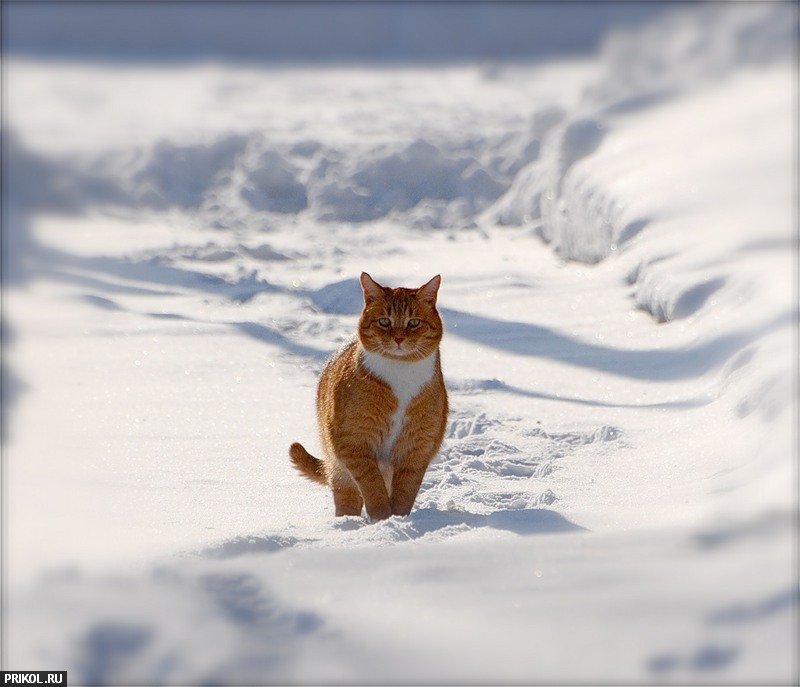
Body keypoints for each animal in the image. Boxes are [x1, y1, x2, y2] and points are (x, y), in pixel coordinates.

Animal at [290, 272, 450, 520]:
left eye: (413, 322)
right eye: (384, 321)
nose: (398, 338)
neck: (400, 371)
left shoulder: (418, 445)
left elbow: (406, 491)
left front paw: (399, 519)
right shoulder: (354, 441)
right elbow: (372, 484)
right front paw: (382, 518)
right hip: (339, 468)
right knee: (347, 495)